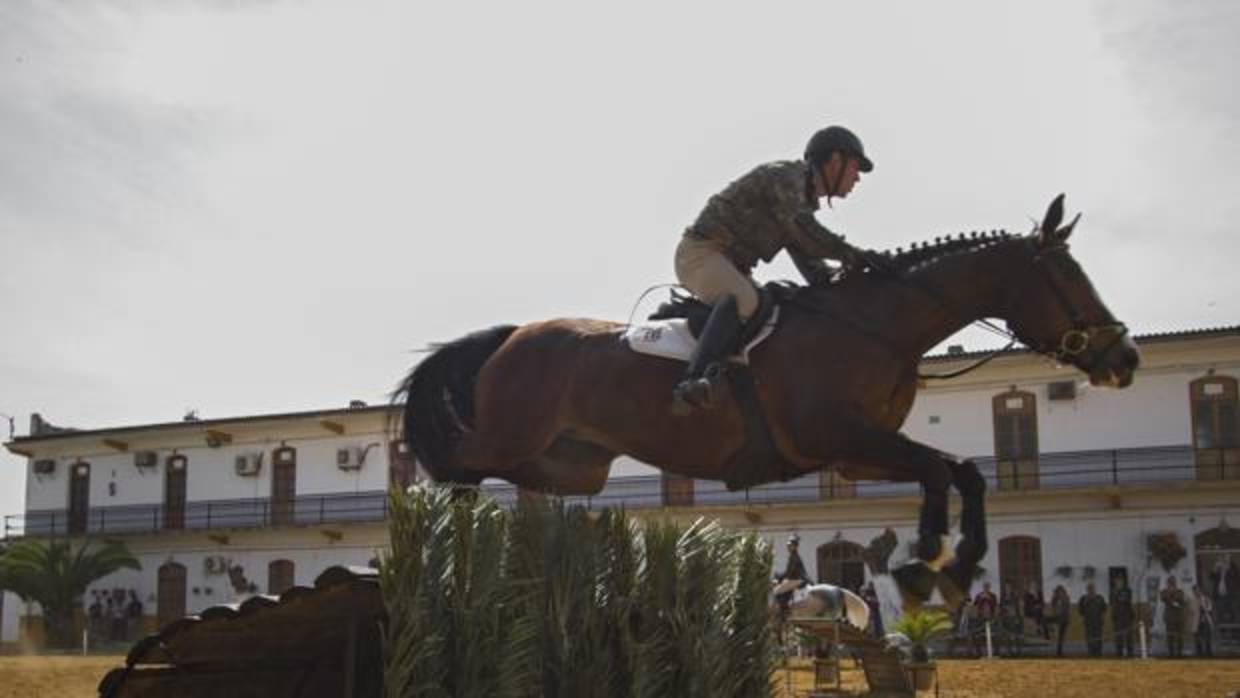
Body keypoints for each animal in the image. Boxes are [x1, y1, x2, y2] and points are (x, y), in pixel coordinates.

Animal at [399, 193, 1140, 609]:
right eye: (1068, 277)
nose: (1124, 359)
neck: (873, 325)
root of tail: (512, 335)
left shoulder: (855, 456)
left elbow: (963, 472)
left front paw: (954, 564)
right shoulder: (840, 438)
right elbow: (937, 470)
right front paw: (924, 556)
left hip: (569, 463)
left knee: (485, 479)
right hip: (511, 437)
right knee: (452, 466)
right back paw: (440, 545)